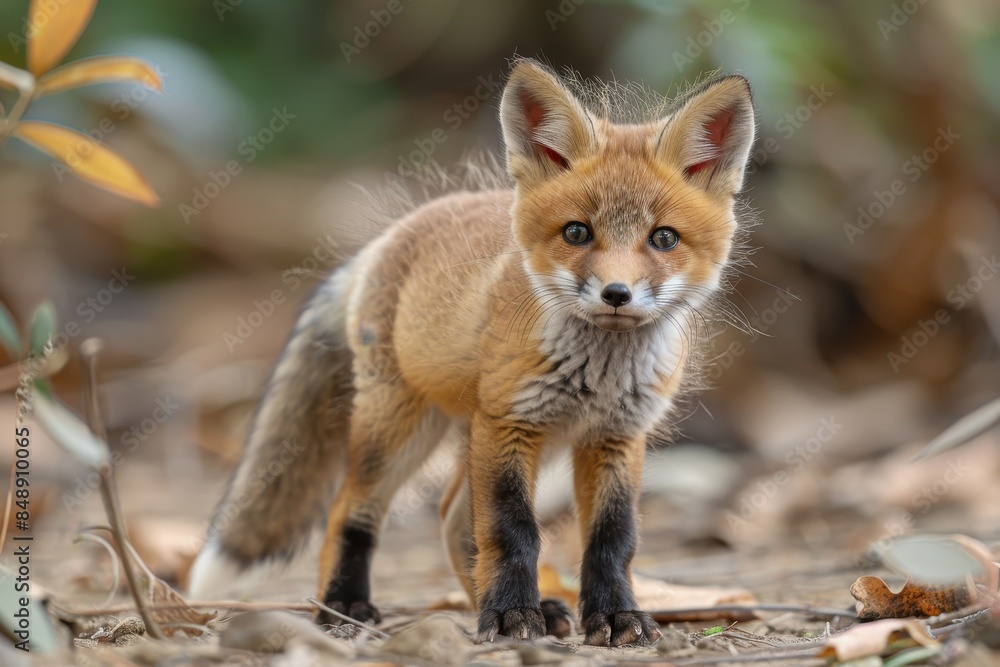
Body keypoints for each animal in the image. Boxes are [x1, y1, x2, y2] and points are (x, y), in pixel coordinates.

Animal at [188, 58, 756, 647]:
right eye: (577, 232)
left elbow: (611, 540)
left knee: (451, 514)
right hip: (402, 428)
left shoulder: (615, 435)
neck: (598, 374)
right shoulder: (509, 422)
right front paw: (509, 615)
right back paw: (344, 604)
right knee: (351, 509)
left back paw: (503, 601)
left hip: (503, 438)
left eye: (664, 238)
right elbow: (511, 530)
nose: (616, 294)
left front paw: (614, 615)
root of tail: (386, 239)